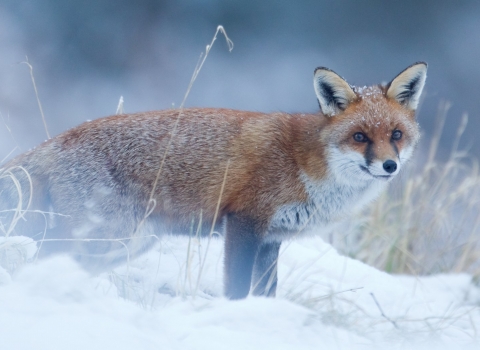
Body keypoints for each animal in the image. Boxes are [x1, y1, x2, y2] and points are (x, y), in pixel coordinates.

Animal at [0, 62, 428, 298]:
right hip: (105, 238)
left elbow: (266, 295)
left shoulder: (271, 240)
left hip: (123, 244)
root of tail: (56, 141)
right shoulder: (244, 222)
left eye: (396, 135)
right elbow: (236, 291)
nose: (389, 166)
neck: (306, 164)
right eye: (360, 137)